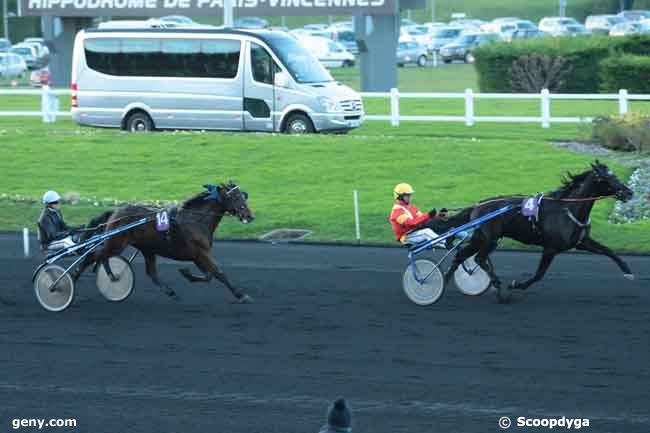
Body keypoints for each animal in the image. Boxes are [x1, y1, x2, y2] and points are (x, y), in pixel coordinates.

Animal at [73, 183, 251, 304]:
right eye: (235, 197)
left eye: (243, 196)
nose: (250, 215)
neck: (195, 220)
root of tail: (115, 213)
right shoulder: (201, 253)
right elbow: (219, 273)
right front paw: (241, 294)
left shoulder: (197, 256)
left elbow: (209, 275)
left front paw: (186, 273)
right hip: (116, 243)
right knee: (93, 256)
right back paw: (73, 280)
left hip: (146, 249)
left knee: (149, 272)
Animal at [442, 160, 632, 302]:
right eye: (606, 177)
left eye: (614, 174)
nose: (629, 192)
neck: (568, 209)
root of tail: (477, 205)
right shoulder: (551, 248)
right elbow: (539, 275)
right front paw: (515, 285)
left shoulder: (581, 242)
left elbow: (608, 251)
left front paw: (628, 271)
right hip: (490, 239)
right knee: (479, 258)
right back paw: (497, 287)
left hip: (480, 238)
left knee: (461, 256)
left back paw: (443, 283)